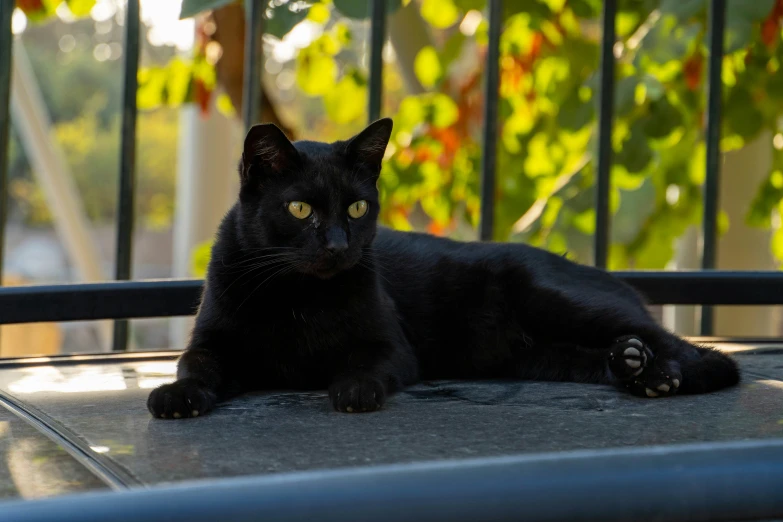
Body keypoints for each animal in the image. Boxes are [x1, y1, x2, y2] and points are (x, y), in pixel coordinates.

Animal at [149, 119, 740, 418]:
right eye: (299, 210)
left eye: (357, 208)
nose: (339, 245)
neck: (297, 297)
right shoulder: (213, 341)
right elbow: (195, 366)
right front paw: (177, 397)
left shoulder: (391, 346)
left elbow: (363, 364)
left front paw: (352, 390)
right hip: (541, 356)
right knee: (607, 356)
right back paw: (631, 365)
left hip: (561, 302)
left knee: (707, 356)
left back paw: (659, 375)